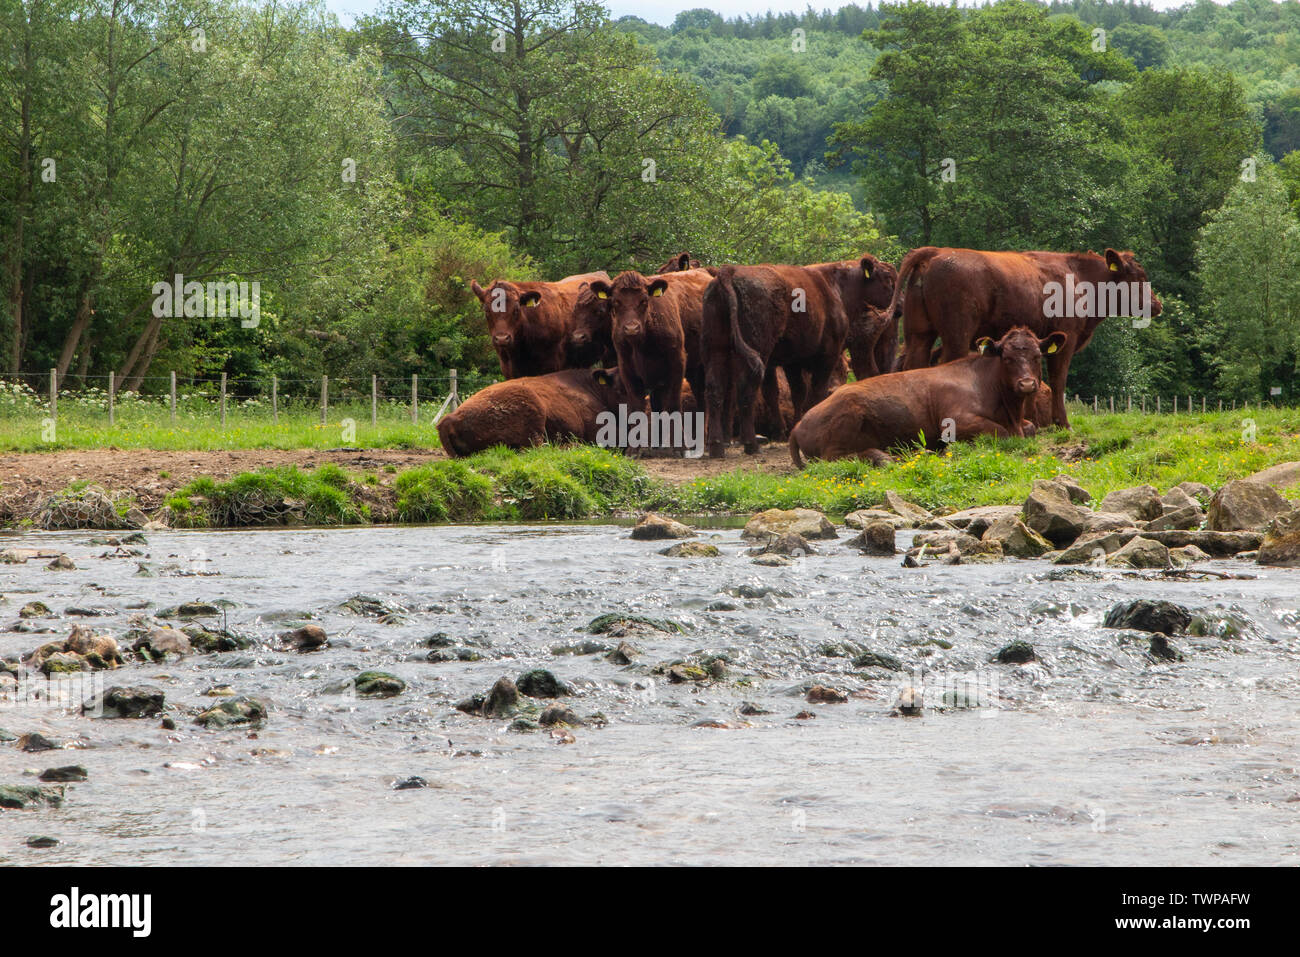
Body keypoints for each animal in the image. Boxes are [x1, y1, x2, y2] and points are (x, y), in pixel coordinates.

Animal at [707, 261, 847, 455]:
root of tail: (730, 271)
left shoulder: (793, 363)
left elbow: (798, 392)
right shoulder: (827, 358)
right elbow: (816, 392)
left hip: (717, 349)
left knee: (715, 389)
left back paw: (716, 447)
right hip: (757, 353)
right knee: (746, 391)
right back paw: (751, 445)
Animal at [894, 248, 1159, 429]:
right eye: (1139, 278)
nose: (1158, 304)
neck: (1079, 279)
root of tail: (938, 252)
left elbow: (1036, 379)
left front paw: (1033, 420)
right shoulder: (1067, 340)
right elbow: (1058, 381)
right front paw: (1062, 423)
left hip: (919, 334)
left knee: (913, 365)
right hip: (956, 334)